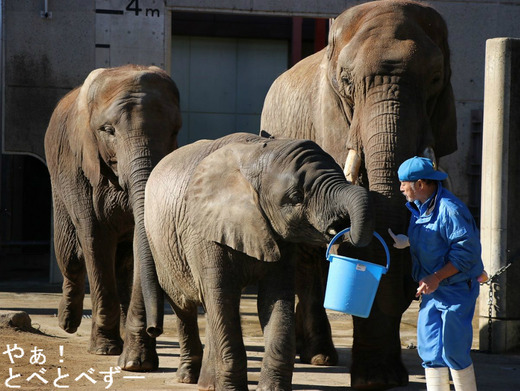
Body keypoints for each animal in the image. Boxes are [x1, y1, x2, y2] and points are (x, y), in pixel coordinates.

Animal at [45, 64, 183, 358]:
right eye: (108, 130)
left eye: (175, 131)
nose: (155, 329)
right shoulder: (79, 168)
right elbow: (95, 238)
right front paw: (104, 349)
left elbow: (138, 243)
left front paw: (137, 358)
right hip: (57, 179)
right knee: (70, 255)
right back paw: (67, 323)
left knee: (122, 263)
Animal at [138, 133, 374, 390]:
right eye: (296, 197)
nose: (341, 226)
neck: (257, 154)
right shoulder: (204, 232)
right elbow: (223, 295)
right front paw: (232, 389)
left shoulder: (279, 236)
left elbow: (274, 297)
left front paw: (272, 388)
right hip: (162, 246)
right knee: (185, 305)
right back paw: (188, 378)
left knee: (210, 309)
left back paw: (207, 383)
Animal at [260, 1, 456, 390]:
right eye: (347, 82)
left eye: (435, 80)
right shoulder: (332, 120)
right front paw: (376, 380)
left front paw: (384, 378)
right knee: (308, 259)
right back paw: (318, 356)